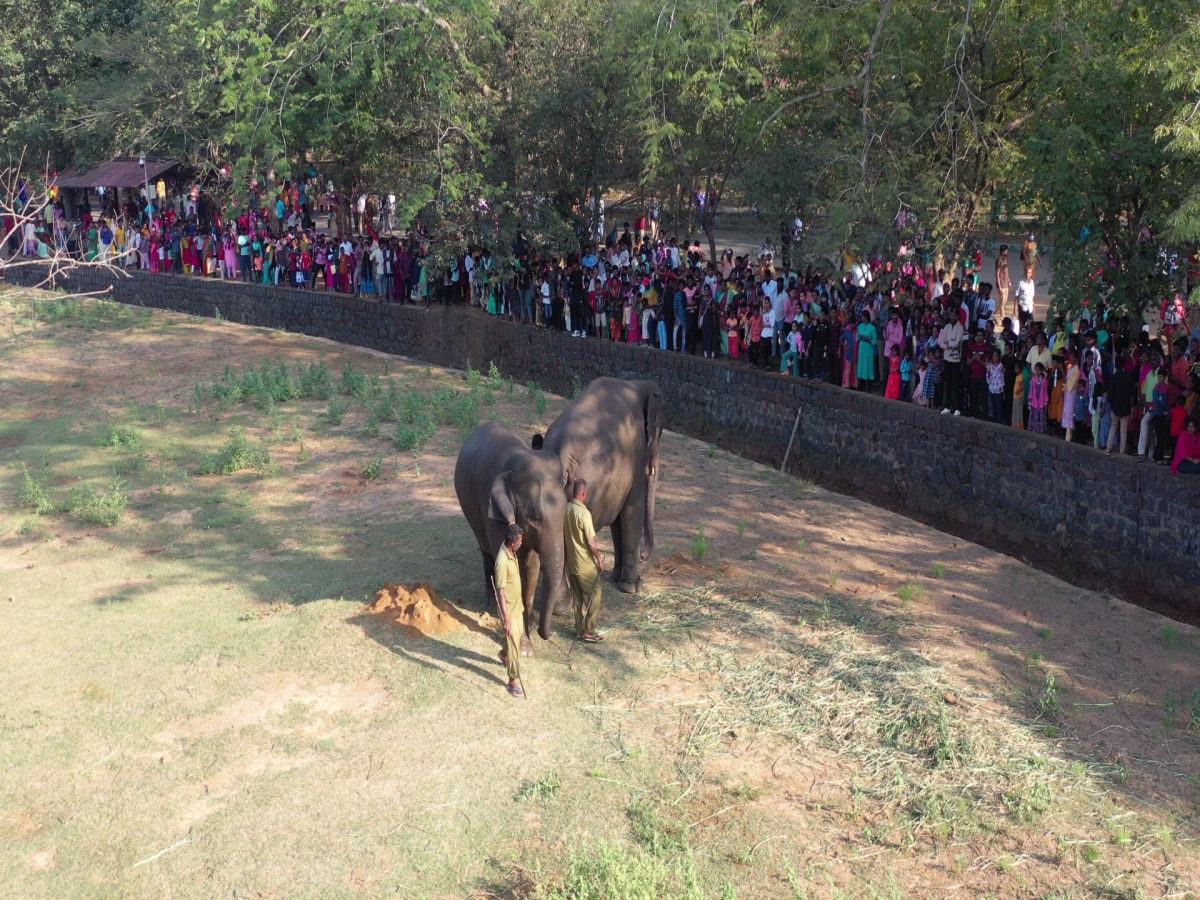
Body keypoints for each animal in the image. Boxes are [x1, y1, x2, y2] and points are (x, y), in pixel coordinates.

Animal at [456, 422, 573, 657]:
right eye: (535, 518)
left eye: (564, 512)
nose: (549, 634)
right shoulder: (493, 511)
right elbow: (511, 571)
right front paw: (524, 649)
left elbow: (532, 567)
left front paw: (529, 630)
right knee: (486, 551)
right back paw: (490, 601)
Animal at [544, 376, 667, 638]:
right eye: (660, 433)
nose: (644, 557)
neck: (636, 383)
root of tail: (562, 453)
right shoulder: (635, 456)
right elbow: (631, 510)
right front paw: (632, 587)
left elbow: (619, 520)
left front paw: (615, 577)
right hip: (591, 486)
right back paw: (564, 605)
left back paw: (559, 604)